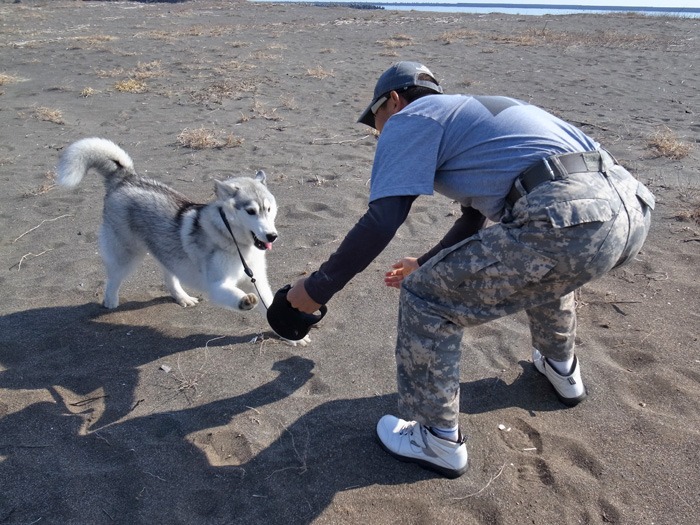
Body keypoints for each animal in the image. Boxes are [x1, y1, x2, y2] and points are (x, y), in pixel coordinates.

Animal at [56, 137, 278, 314]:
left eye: (268, 209)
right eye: (251, 211)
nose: (272, 236)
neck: (234, 240)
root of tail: (126, 178)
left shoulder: (258, 281)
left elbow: (269, 304)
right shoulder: (217, 285)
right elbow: (233, 293)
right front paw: (244, 300)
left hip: (167, 253)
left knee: (169, 275)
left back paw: (182, 297)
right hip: (126, 255)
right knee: (113, 278)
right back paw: (110, 301)